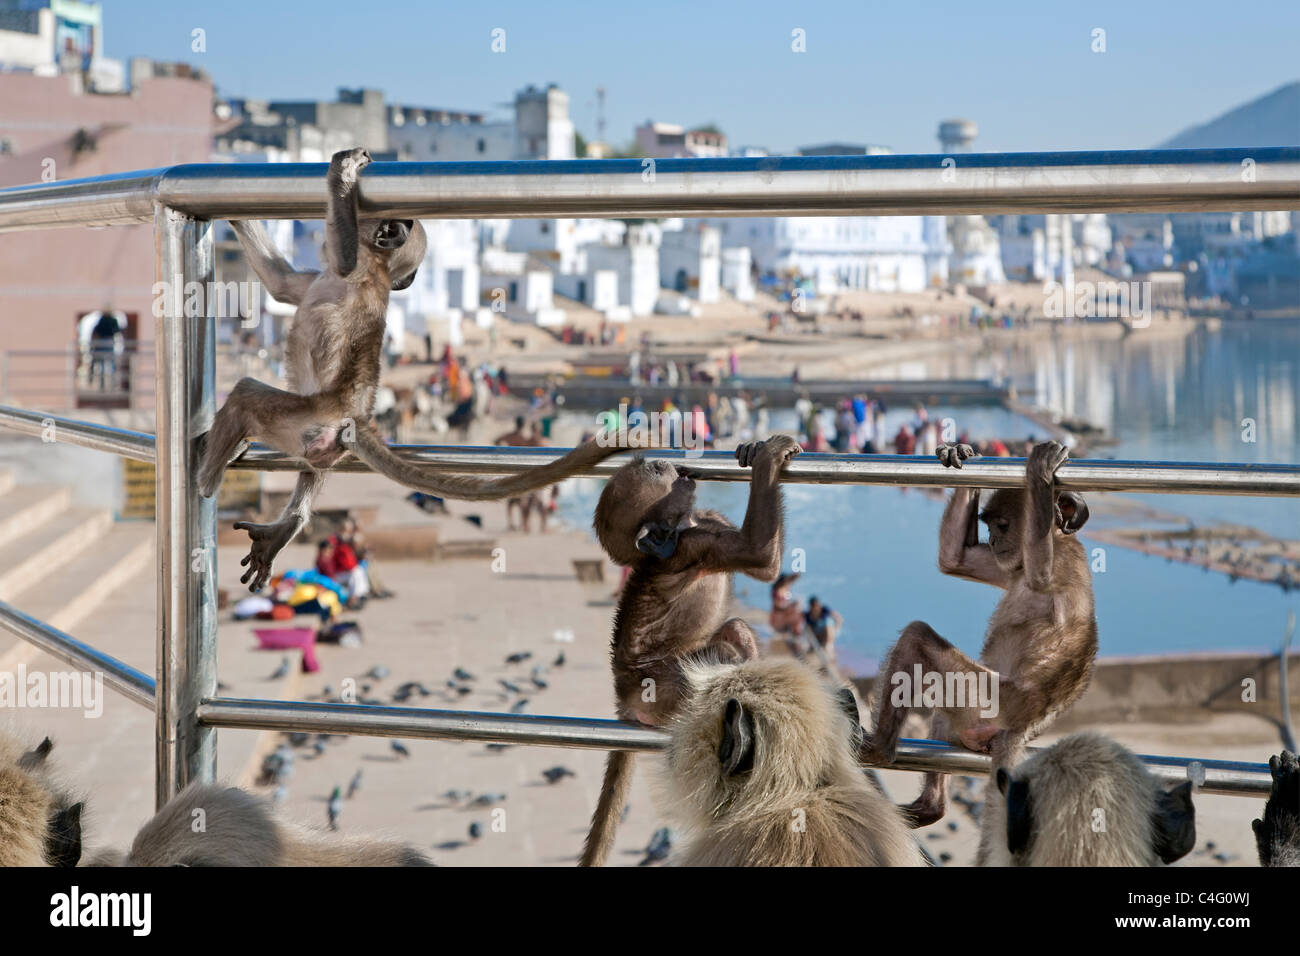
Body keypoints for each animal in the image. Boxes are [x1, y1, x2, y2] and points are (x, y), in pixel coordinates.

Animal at [196, 147, 634, 590]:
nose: (410, 281)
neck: (379, 264)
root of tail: (351, 416)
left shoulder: (355, 267)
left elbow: (343, 258)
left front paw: (343, 174)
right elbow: (282, 283)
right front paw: (236, 214)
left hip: (304, 416)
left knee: (245, 393)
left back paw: (206, 479)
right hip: (318, 439)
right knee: (311, 461)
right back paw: (284, 522)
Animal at [582, 437, 800, 863]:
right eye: (657, 472)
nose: (668, 463)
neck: (685, 527)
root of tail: (624, 696)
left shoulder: (707, 521)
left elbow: (761, 566)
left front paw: (752, 449)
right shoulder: (693, 547)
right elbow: (760, 556)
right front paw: (769, 456)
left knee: (733, 633)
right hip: (660, 692)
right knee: (724, 648)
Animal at [863, 444, 1097, 827]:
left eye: (1002, 526)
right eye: (989, 527)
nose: (995, 540)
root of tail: (1021, 726)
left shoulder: (1063, 561)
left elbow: (1041, 576)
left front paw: (1041, 475)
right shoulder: (1011, 563)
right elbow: (955, 559)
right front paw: (958, 451)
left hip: (987, 704)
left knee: (917, 638)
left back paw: (882, 749)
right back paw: (930, 805)